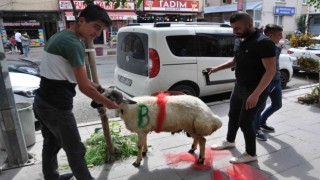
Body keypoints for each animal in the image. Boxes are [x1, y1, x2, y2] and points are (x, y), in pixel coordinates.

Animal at [92, 90, 222, 167]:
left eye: (108, 96)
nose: (92, 104)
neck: (128, 108)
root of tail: (208, 112)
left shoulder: (140, 131)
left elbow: (139, 145)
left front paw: (137, 161)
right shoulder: (144, 130)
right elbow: (144, 142)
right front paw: (144, 152)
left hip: (192, 126)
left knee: (202, 140)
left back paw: (201, 159)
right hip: (191, 127)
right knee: (198, 139)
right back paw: (192, 149)